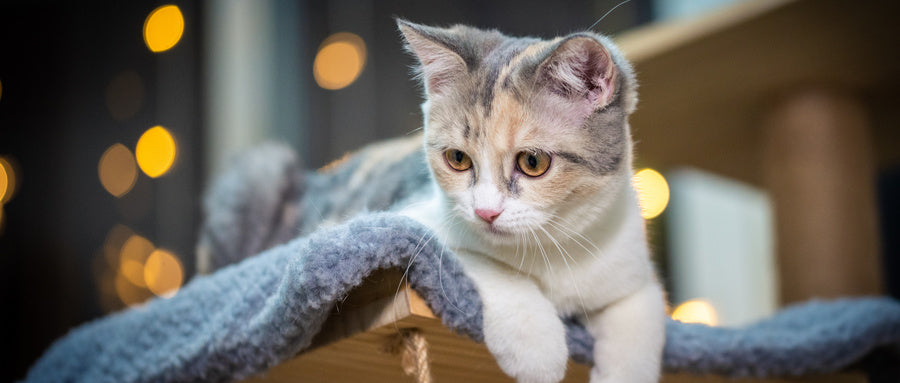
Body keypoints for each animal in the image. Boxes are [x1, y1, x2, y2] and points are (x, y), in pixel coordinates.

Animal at [396, 20, 668, 383]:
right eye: (457, 158)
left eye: (533, 162)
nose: (485, 212)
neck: (550, 247)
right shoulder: (412, 219)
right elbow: (487, 263)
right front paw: (536, 348)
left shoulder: (630, 265)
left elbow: (639, 314)